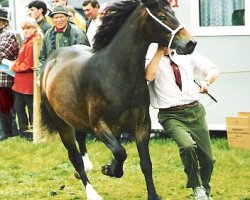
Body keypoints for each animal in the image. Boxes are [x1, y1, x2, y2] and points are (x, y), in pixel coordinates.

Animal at [40, 0, 196, 199]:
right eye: (162, 16)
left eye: (173, 13)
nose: (190, 43)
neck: (115, 74)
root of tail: (51, 60)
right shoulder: (100, 127)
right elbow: (120, 152)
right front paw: (109, 169)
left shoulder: (142, 126)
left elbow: (145, 163)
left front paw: (152, 194)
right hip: (62, 124)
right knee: (74, 157)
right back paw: (92, 192)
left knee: (81, 141)